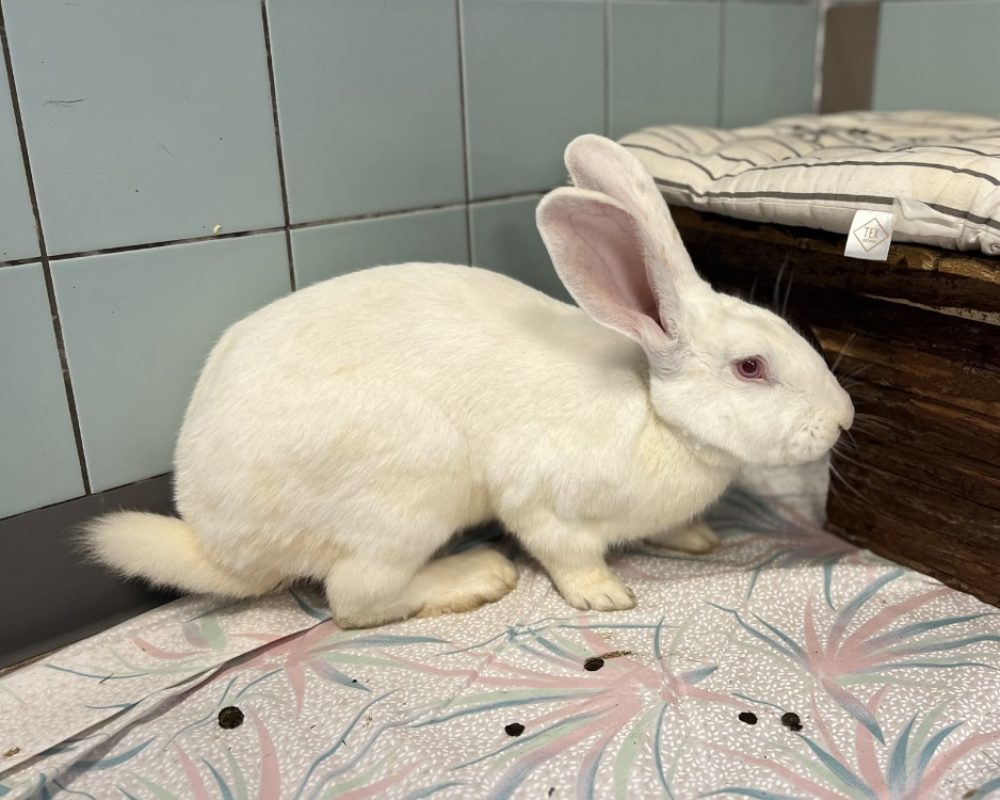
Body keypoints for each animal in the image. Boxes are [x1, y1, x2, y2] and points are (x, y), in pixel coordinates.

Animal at [85, 134, 853, 629]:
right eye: (751, 367)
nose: (844, 418)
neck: (655, 414)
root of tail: (218, 542)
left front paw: (697, 540)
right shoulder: (544, 500)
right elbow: (568, 555)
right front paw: (605, 598)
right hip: (407, 495)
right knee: (356, 599)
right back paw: (476, 577)